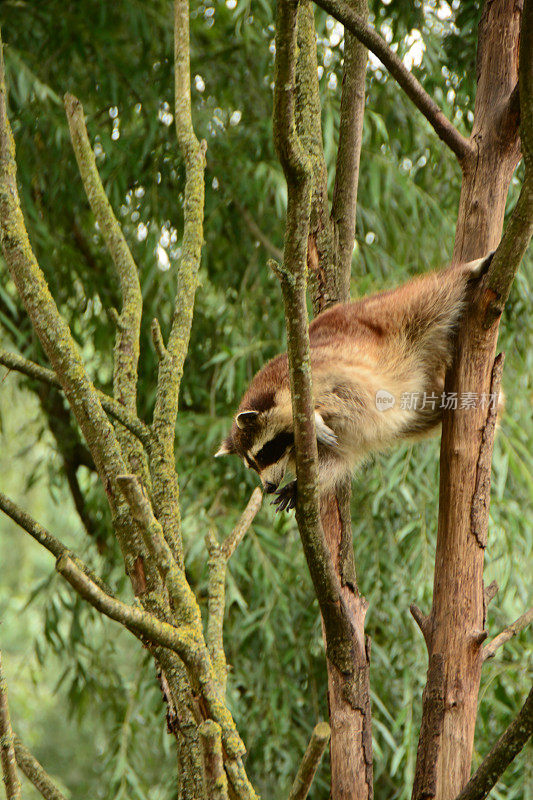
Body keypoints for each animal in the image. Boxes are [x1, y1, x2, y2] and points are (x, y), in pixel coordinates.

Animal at [216, 253, 494, 510]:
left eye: (264, 453)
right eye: (252, 464)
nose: (268, 487)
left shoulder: (315, 370)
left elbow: (335, 394)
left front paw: (315, 418)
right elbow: (334, 461)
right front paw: (299, 485)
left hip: (389, 314)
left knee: (431, 297)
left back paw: (464, 272)